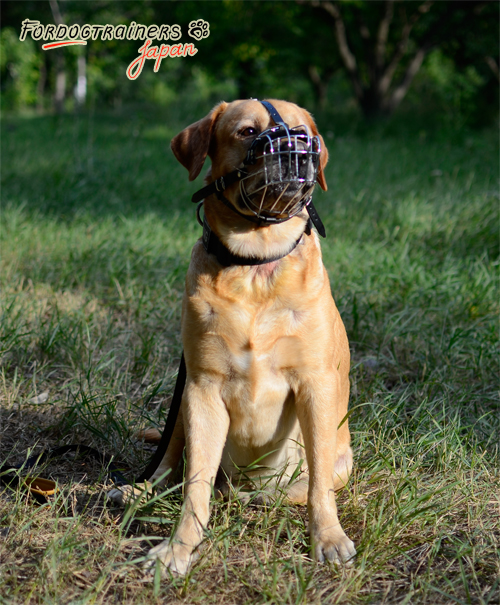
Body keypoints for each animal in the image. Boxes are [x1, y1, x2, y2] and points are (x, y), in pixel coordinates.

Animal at [110, 99, 356, 576]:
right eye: (247, 131)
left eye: (304, 132)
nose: (298, 151)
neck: (255, 263)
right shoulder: (203, 388)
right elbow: (195, 487)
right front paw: (178, 548)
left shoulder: (315, 385)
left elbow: (318, 486)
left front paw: (328, 536)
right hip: (181, 412)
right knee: (169, 468)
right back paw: (140, 490)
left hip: (336, 456)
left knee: (302, 484)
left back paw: (261, 497)